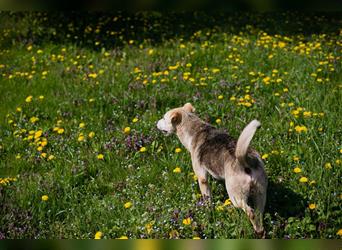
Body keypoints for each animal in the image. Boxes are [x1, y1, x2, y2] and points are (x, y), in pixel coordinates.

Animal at [157, 102, 268, 235]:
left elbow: (207, 197)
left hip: (236, 196)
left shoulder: (202, 177)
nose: (156, 122)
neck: (194, 126)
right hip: (260, 194)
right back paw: (260, 232)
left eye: (164, 118)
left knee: (250, 212)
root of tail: (245, 160)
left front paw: (208, 210)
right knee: (258, 213)